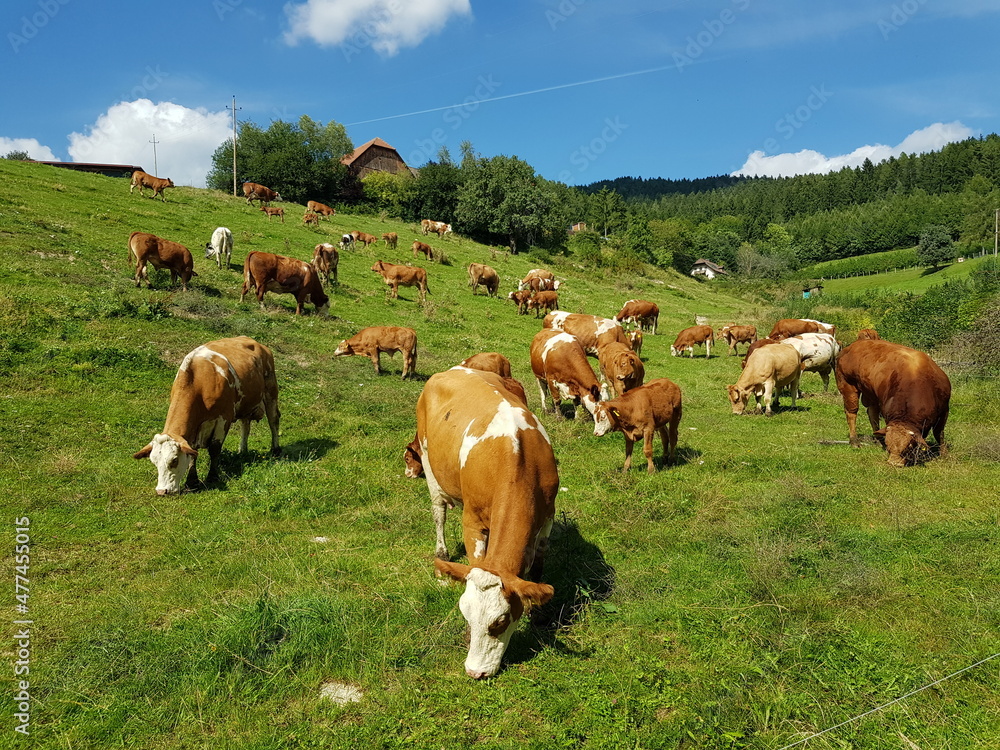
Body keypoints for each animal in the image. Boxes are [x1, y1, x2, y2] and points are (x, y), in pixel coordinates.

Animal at [133, 336, 280, 494]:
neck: (199, 384)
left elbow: (214, 449)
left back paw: (275, 450)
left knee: (273, 420)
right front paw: (192, 482)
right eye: (154, 461)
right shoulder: (195, 428)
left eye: (174, 460)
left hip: (271, 390)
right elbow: (193, 453)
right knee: (245, 425)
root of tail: (255, 342)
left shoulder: (223, 418)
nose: (162, 491)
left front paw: (212, 477)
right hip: (246, 403)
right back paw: (242, 451)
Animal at [412, 367, 557, 679]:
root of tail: (455, 369)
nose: (474, 671)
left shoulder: (548, 517)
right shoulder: (473, 521)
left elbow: (538, 563)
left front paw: (538, 612)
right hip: (428, 459)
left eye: (499, 622)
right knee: (438, 509)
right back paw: (441, 553)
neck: (517, 458)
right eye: (465, 615)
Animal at [834, 339, 951, 467]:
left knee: (872, 414)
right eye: (889, 446)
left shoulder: (944, 410)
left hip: (871, 393)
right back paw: (854, 441)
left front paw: (943, 453)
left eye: (909, 446)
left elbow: (938, 432)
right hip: (848, 386)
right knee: (851, 413)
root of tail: (852, 345)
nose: (894, 462)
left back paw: (877, 439)